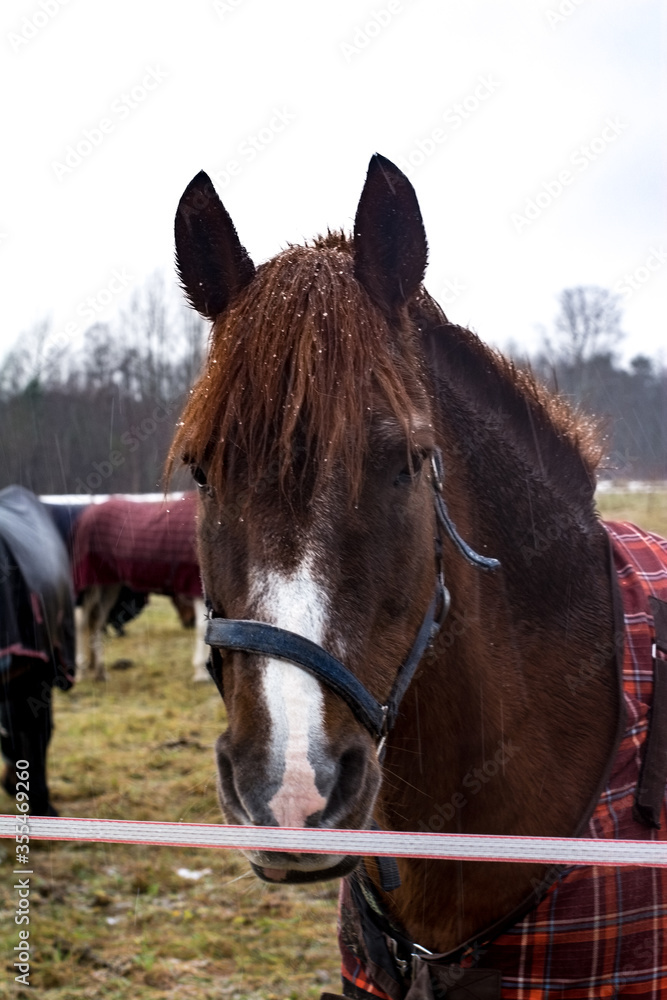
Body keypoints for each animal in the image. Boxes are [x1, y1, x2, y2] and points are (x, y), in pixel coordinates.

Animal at [67, 494, 208, 682]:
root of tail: (86, 515)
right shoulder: (197, 588)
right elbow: (202, 629)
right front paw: (201, 672)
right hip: (90, 584)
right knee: (81, 622)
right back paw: (81, 672)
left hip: (110, 586)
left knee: (97, 621)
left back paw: (100, 672)